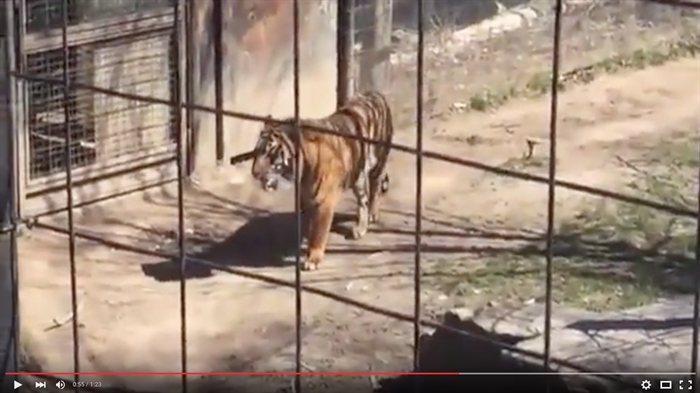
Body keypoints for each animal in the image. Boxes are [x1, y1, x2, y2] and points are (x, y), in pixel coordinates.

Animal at [247, 90, 394, 272]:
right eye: (257, 152)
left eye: (269, 153)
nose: (254, 173)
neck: (302, 172)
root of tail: (375, 93)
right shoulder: (306, 199)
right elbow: (310, 227)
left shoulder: (325, 201)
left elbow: (318, 231)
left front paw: (312, 259)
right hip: (358, 176)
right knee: (363, 200)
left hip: (378, 162)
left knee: (372, 191)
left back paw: (367, 220)